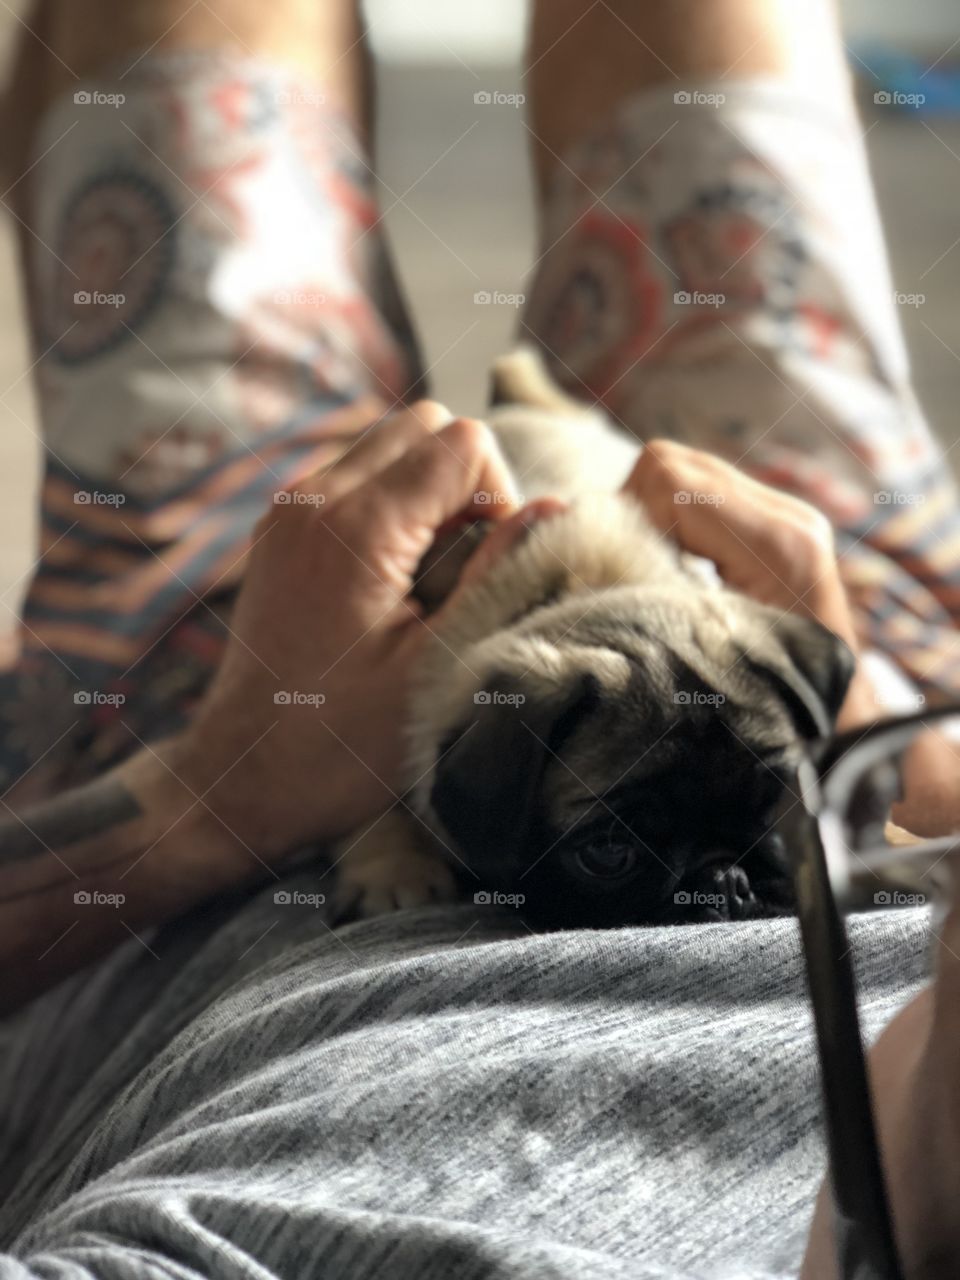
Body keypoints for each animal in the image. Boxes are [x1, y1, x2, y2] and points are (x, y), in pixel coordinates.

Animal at [332, 348, 855, 931]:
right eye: (607, 853)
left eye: (788, 816)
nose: (729, 880)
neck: (573, 586)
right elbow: (376, 802)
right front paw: (393, 870)